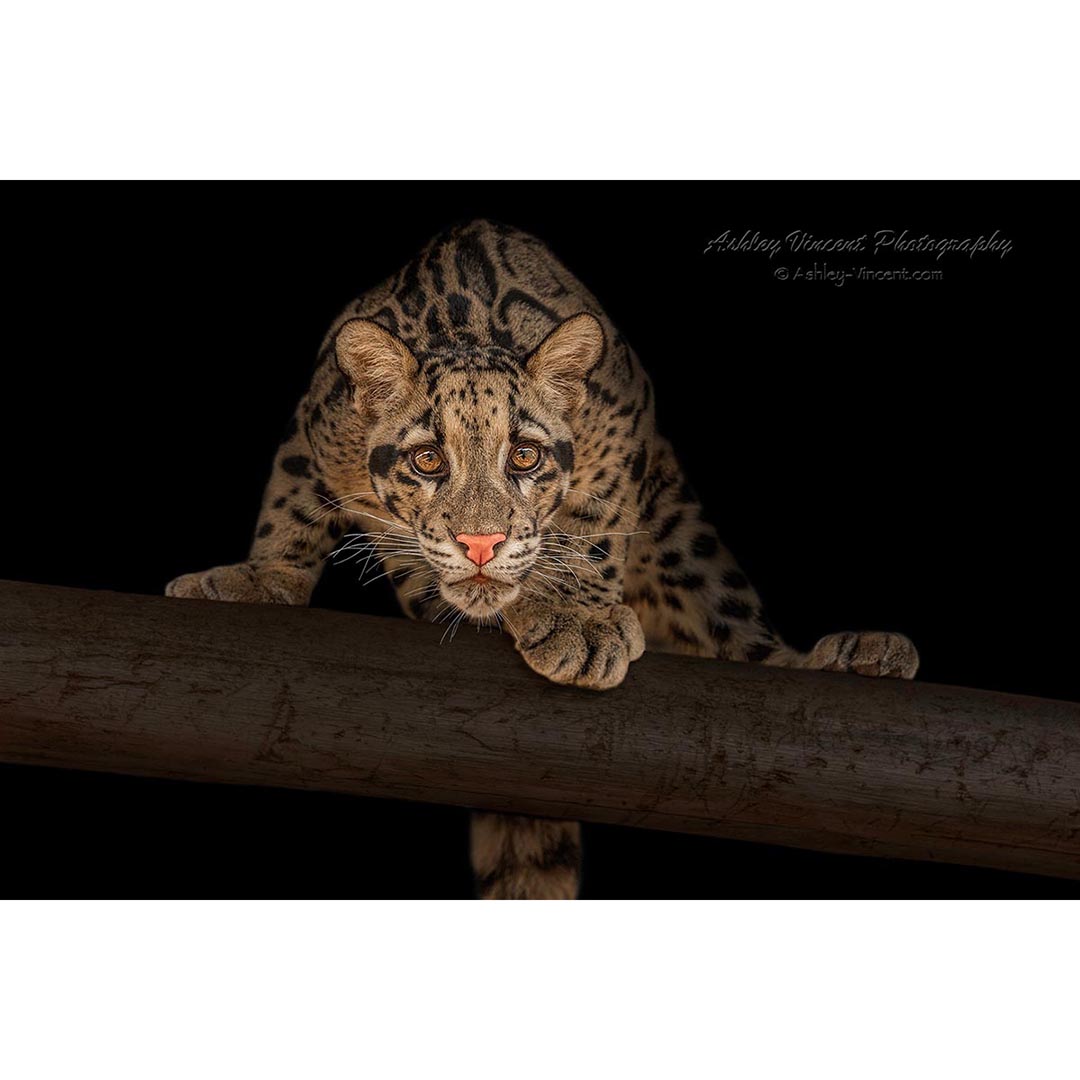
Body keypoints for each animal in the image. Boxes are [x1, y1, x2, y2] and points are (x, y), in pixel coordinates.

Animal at [167, 218, 919, 900]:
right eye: (428, 459)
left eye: (524, 456)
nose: (481, 543)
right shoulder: (313, 427)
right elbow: (289, 504)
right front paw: (260, 576)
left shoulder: (625, 418)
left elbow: (591, 521)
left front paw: (575, 619)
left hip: (686, 536)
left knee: (735, 633)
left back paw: (852, 654)